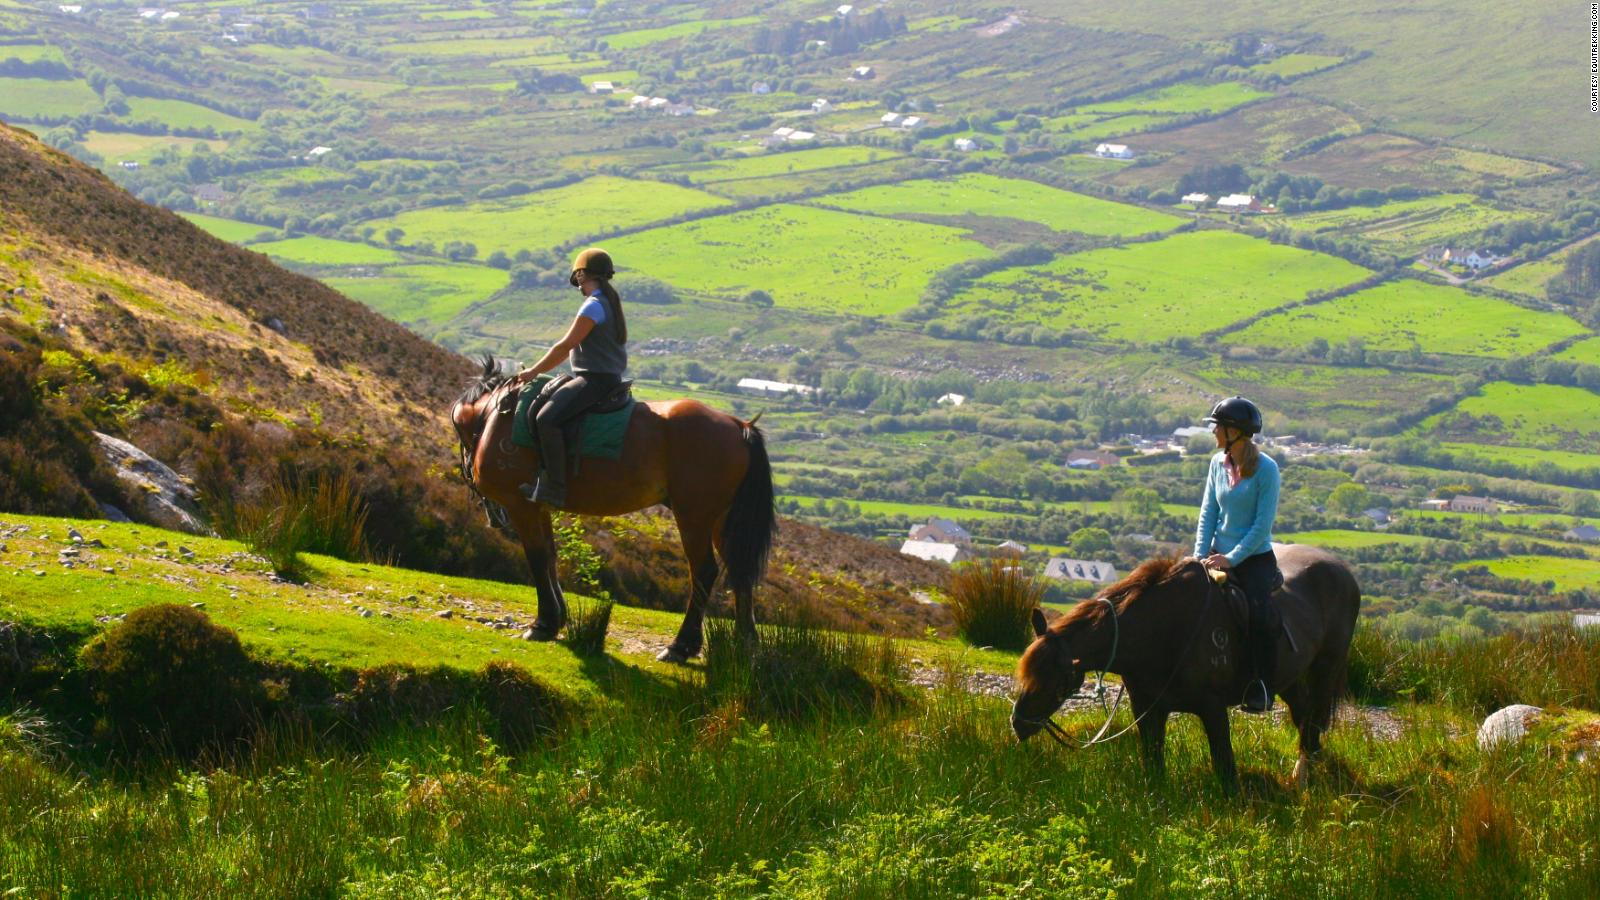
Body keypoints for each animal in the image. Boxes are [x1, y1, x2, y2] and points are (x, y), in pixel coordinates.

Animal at [451, 357, 774, 659]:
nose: (493, 514)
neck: (492, 416)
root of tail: (739, 427)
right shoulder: (538, 506)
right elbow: (551, 555)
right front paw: (558, 617)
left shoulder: (522, 507)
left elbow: (537, 558)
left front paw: (543, 623)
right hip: (722, 520)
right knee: (740, 572)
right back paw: (746, 644)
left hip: (694, 516)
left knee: (704, 571)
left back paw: (681, 646)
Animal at [1004, 538, 1356, 784]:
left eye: (1057, 681)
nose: (1019, 723)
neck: (1165, 630)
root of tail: (1342, 569)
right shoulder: (1148, 710)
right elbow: (1154, 766)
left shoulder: (1213, 709)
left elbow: (1225, 769)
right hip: (1289, 678)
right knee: (1303, 716)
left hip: (1326, 668)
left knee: (1313, 718)